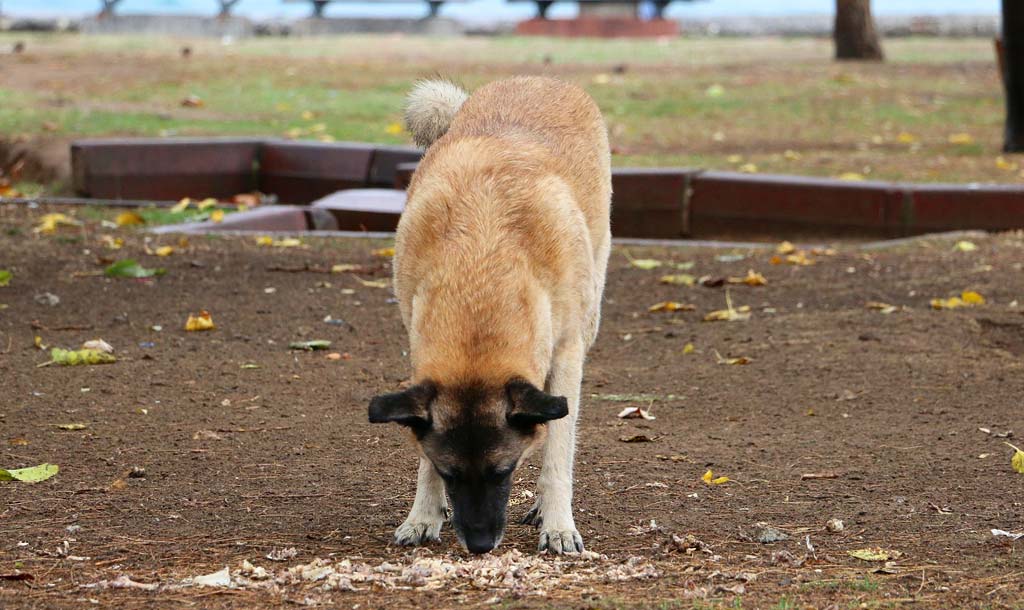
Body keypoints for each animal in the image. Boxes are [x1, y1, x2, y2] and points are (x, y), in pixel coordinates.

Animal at [368, 75, 606, 552]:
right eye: (450, 473)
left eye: (504, 472)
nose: (479, 544)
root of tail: (538, 78)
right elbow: (422, 453)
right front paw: (424, 515)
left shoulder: (566, 356)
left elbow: (557, 454)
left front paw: (558, 525)